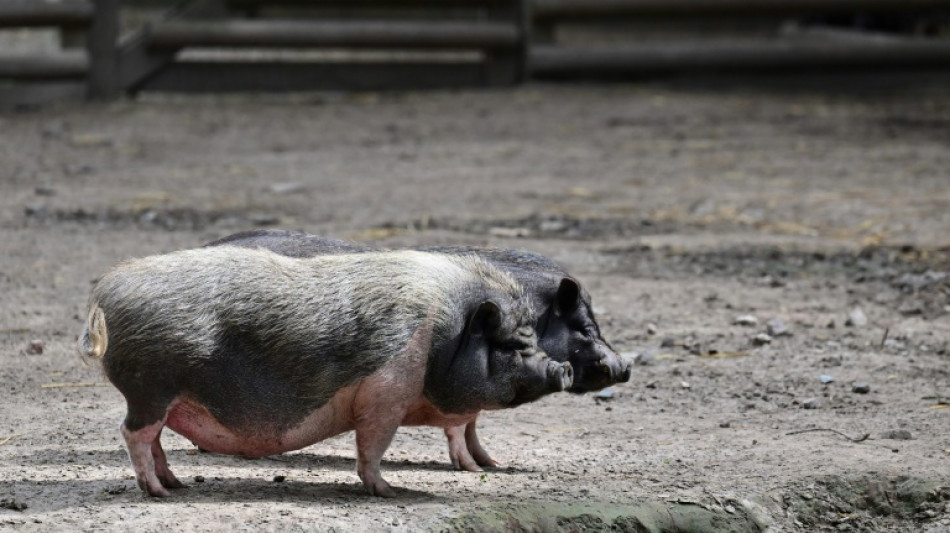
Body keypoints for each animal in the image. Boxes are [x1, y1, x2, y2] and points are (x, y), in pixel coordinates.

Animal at [78, 247, 568, 496]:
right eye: (515, 344)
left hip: (158, 396)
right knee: (133, 433)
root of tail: (105, 293)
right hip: (150, 388)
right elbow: (372, 445)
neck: (442, 336)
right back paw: (157, 492)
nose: (561, 367)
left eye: (533, 337)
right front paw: (388, 491)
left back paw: (175, 484)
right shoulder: (385, 392)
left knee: (154, 439)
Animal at [205, 229, 628, 470]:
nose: (623, 366)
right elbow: (462, 422)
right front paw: (474, 469)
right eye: (582, 327)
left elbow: (474, 422)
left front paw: (494, 464)